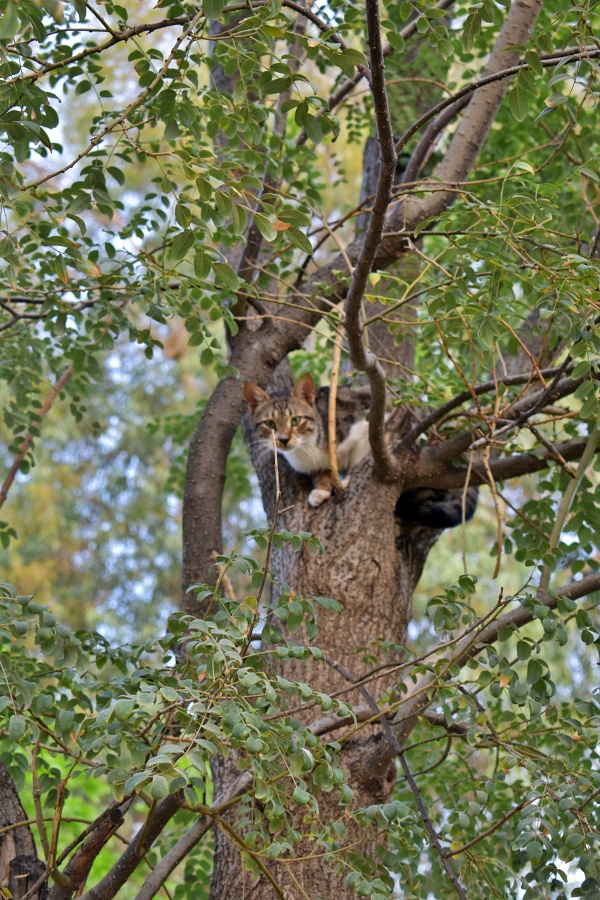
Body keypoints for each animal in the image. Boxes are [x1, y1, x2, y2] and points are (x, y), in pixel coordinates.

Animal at [244, 372, 478, 528]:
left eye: (296, 420)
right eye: (270, 424)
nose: (283, 439)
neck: (308, 446)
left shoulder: (367, 423)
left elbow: (361, 455)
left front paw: (347, 480)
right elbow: (324, 472)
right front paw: (321, 489)